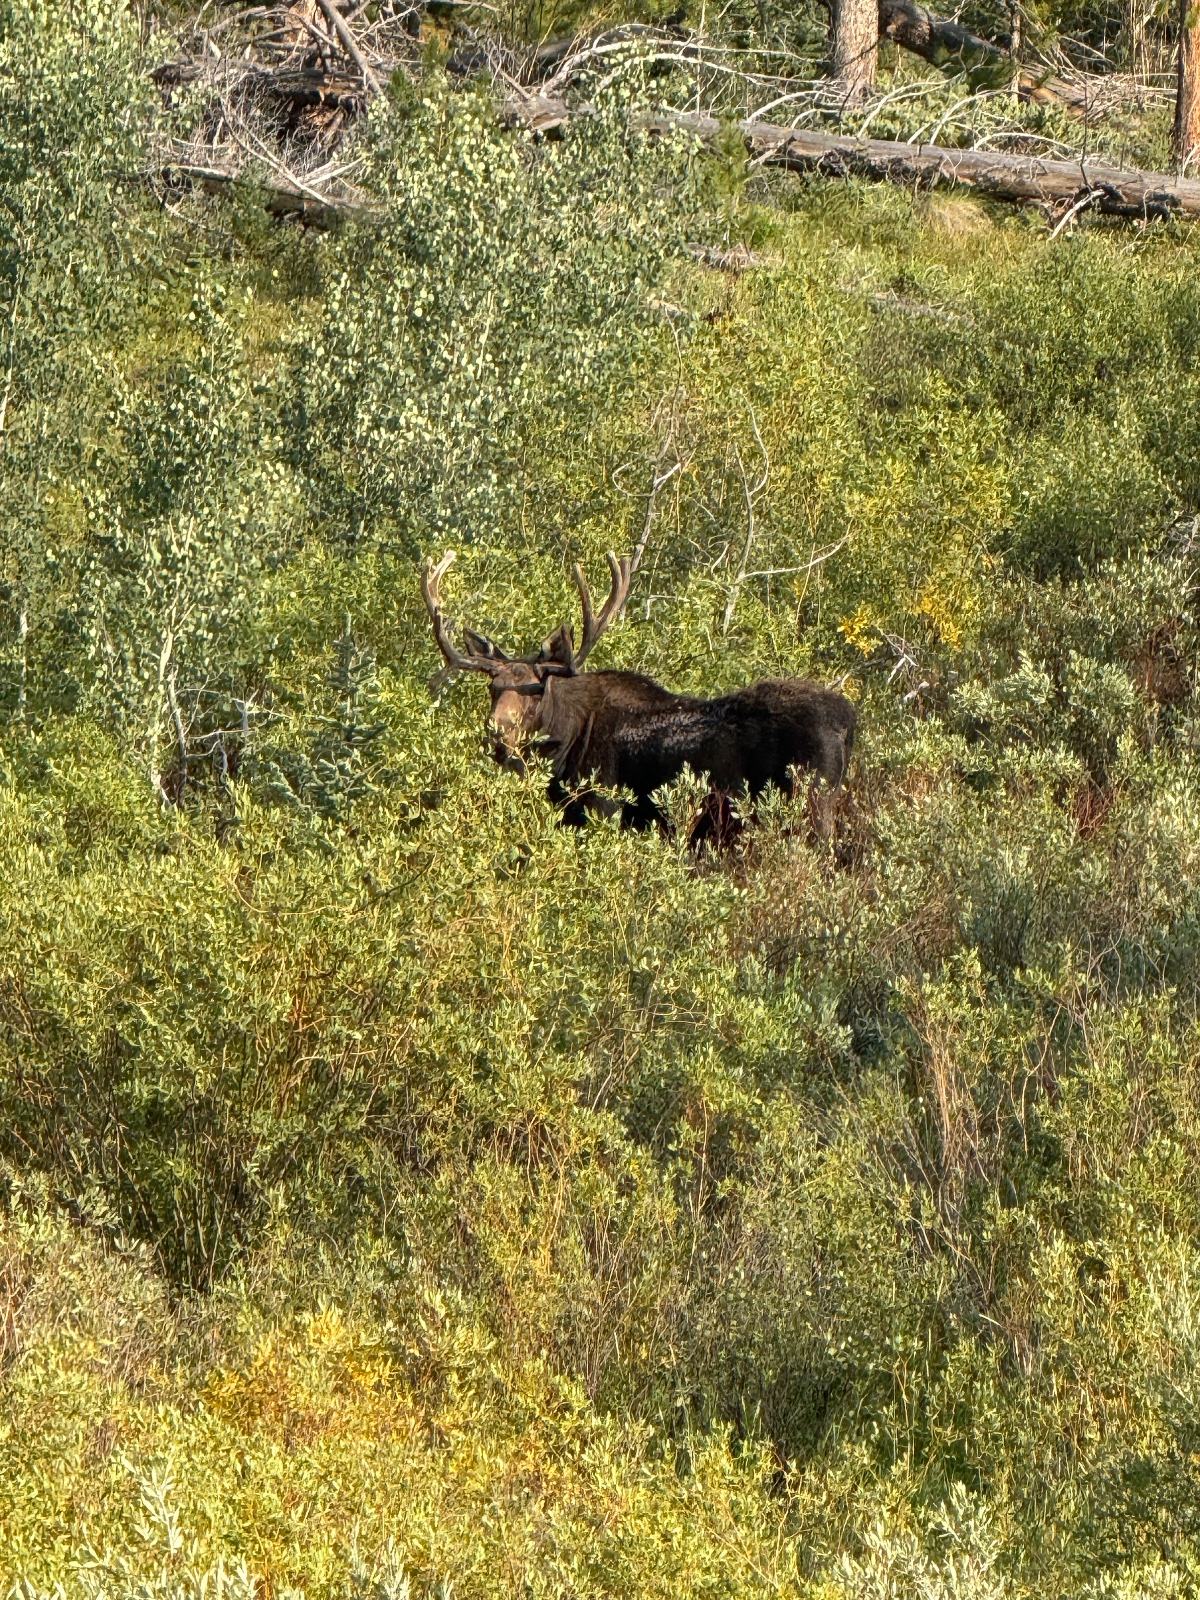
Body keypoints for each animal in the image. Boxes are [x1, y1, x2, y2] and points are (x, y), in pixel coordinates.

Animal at [420, 550, 856, 840]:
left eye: (536, 690)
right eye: (492, 688)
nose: (497, 733)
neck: (562, 753)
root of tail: (850, 721)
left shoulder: (605, 808)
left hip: (811, 802)